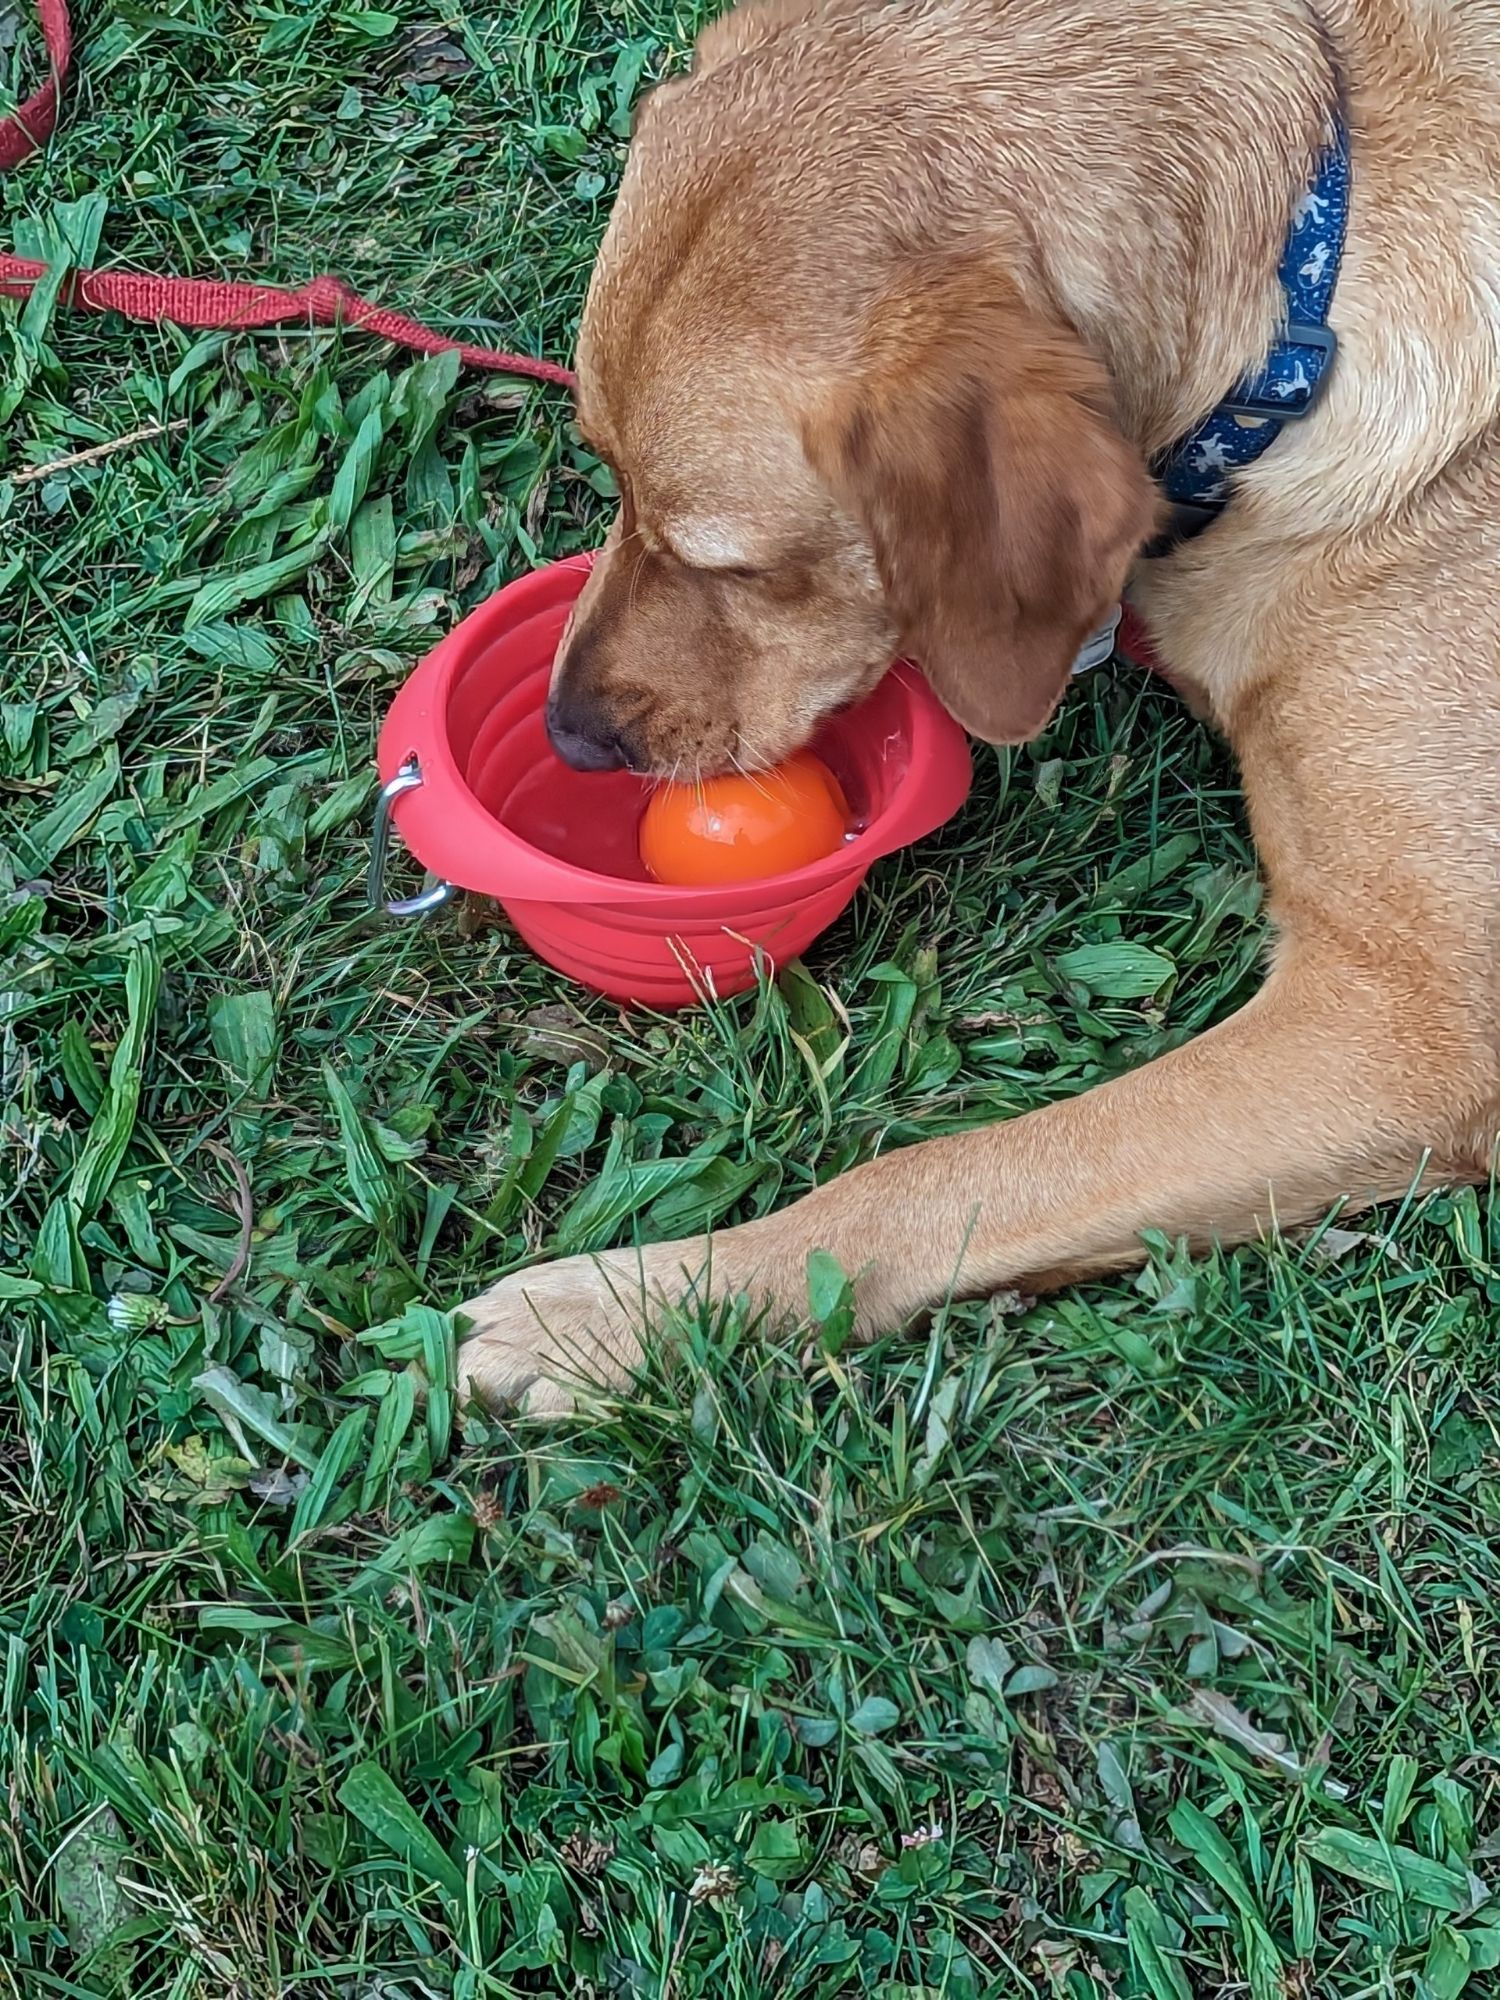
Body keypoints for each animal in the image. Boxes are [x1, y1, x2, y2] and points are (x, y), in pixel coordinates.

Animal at [458, 0, 1500, 1424]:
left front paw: (634, 1307)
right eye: (606, 475)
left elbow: (938, 1174)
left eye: (732, 562)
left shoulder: (1413, 1023)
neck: (1312, 289)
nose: (571, 738)